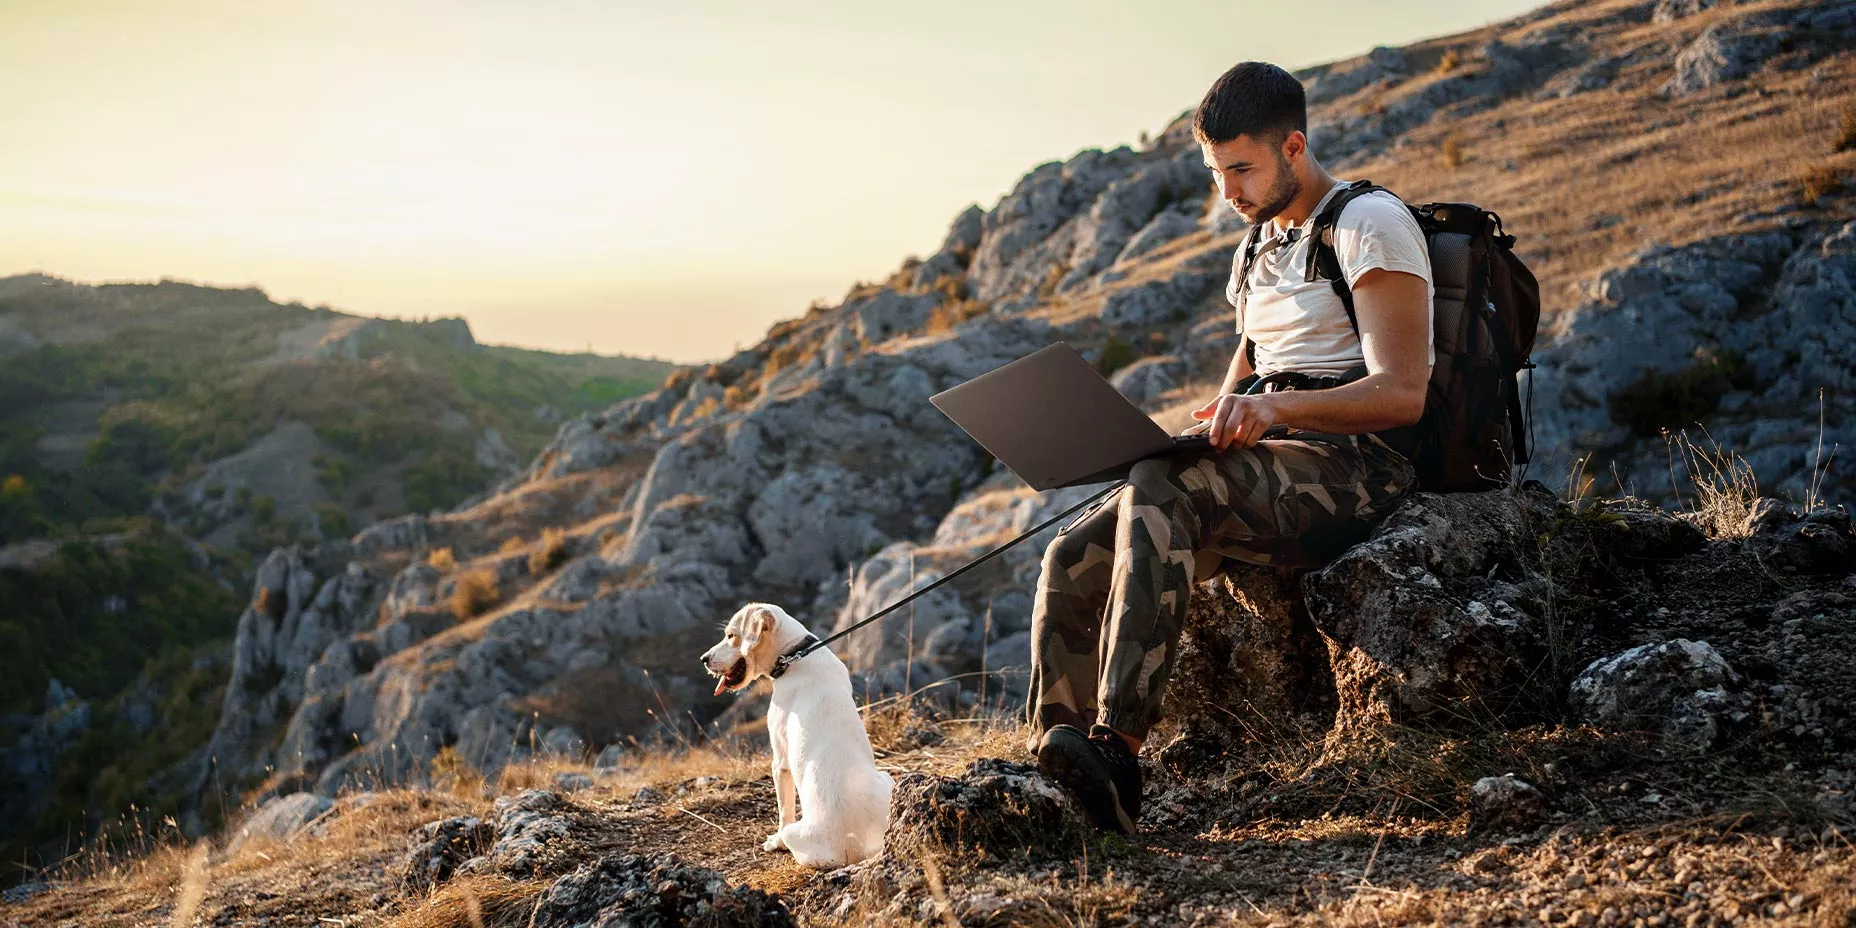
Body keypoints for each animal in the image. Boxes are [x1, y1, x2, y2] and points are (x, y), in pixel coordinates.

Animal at [697, 605, 894, 864]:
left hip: (796, 831)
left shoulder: (780, 763)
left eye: (730, 635)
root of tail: (858, 845)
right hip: (889, 780)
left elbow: (784, 811)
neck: (794, 654)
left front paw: (774, 842)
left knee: (788, 830)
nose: (704, 659)